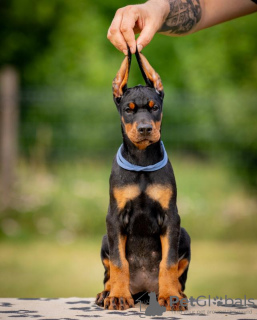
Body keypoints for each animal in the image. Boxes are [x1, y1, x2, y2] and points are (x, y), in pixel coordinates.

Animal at [94, 49, 190, 310]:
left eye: (154, 107)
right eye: (128, 110)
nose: (146, 129)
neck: (142, 162)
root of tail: (145, 292)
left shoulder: (171, 216)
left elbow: (168, 262)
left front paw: (171, 295)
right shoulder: (114, 217)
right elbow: (119, 262)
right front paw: (118, 296)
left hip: (185, 235)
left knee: (179, 276)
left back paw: (177, 294)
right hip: (105, 238)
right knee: (108, 273)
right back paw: (106, 294)